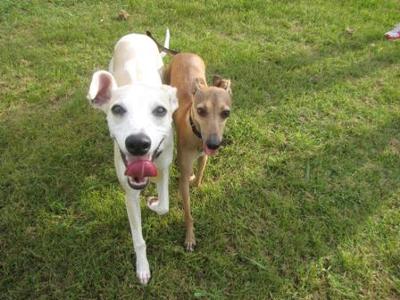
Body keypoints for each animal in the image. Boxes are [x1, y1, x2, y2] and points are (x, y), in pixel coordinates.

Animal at [87, 31, 178, 286]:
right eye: (117, 109)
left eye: (161, 110)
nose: (138, 143)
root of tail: (135, 34)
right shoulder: (129, 193)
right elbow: (138, 239)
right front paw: (142, 268)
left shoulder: (164, 168)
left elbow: (165, 206)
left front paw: (154, 203)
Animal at [164, 53, 231, 251]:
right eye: (201, 110)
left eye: (226, 113)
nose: (214, 144)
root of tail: (183, 53)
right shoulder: (183, 173)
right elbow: (188, 213)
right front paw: (189, 237)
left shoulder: (203, 157)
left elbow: (200, 174)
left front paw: (196, 181)